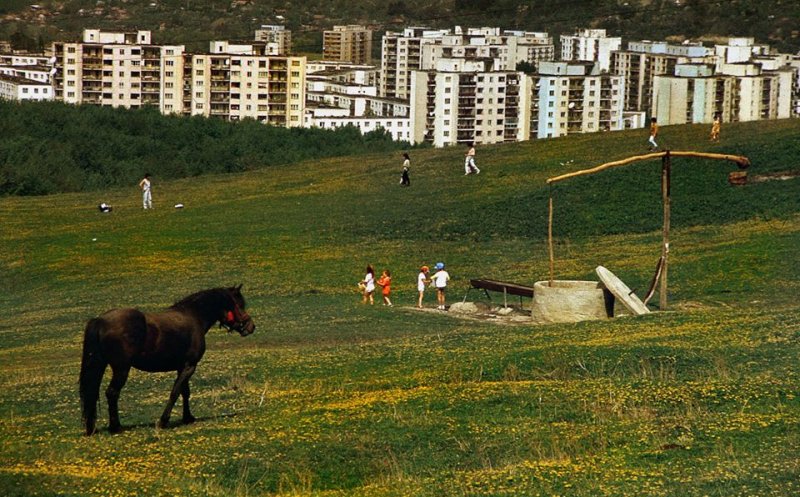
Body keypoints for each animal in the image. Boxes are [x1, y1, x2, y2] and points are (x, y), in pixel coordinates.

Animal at [77, 286, 253, 434]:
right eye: (239, 305)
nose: (251, 327)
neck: (193, 316)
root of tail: (100, 320)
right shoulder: (190, 366)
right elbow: (175, 391)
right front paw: (163, 421)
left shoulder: (183, 367)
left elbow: (185, 392)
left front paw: (188, 418)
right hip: (121, 369)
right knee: (112, 393)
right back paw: (116, 427)